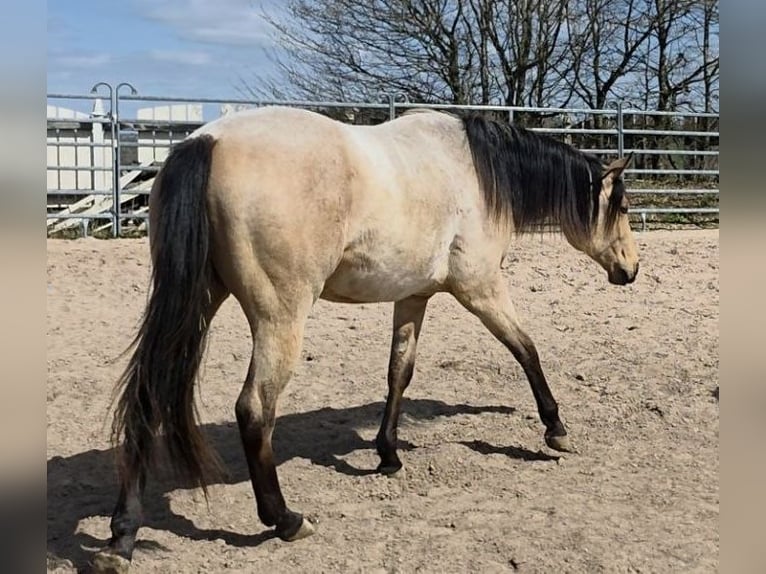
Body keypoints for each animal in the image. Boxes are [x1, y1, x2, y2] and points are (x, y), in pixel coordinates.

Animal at [92, 106, 639, 572]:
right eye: (623, 206)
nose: (631, 269)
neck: (479, 176)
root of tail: (205, 141)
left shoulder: (414, 297)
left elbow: (400, 372)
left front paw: (388, 454)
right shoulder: (480, 289)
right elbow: (527, 350)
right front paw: (555, 429)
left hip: (198, 302)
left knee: (149, 397)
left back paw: (122, 537)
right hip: (279, 318)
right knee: (254, 409)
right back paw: (285, 520)